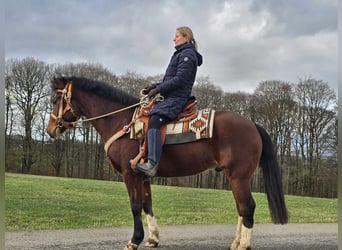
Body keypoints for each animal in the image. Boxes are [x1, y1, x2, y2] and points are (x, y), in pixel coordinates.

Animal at [46, 76, 288, 250]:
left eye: (55, 100)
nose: (50, 130)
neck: (121, 122)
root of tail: (252, 124)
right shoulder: (143, 175)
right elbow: (147, 204)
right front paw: (152, 238)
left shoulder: (130, 174)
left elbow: (135, 206)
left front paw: (134, 240)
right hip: (236, 178)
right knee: (241, 208)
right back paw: (236, 243)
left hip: (239, 176)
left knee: (247, 207)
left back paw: (244, 245)